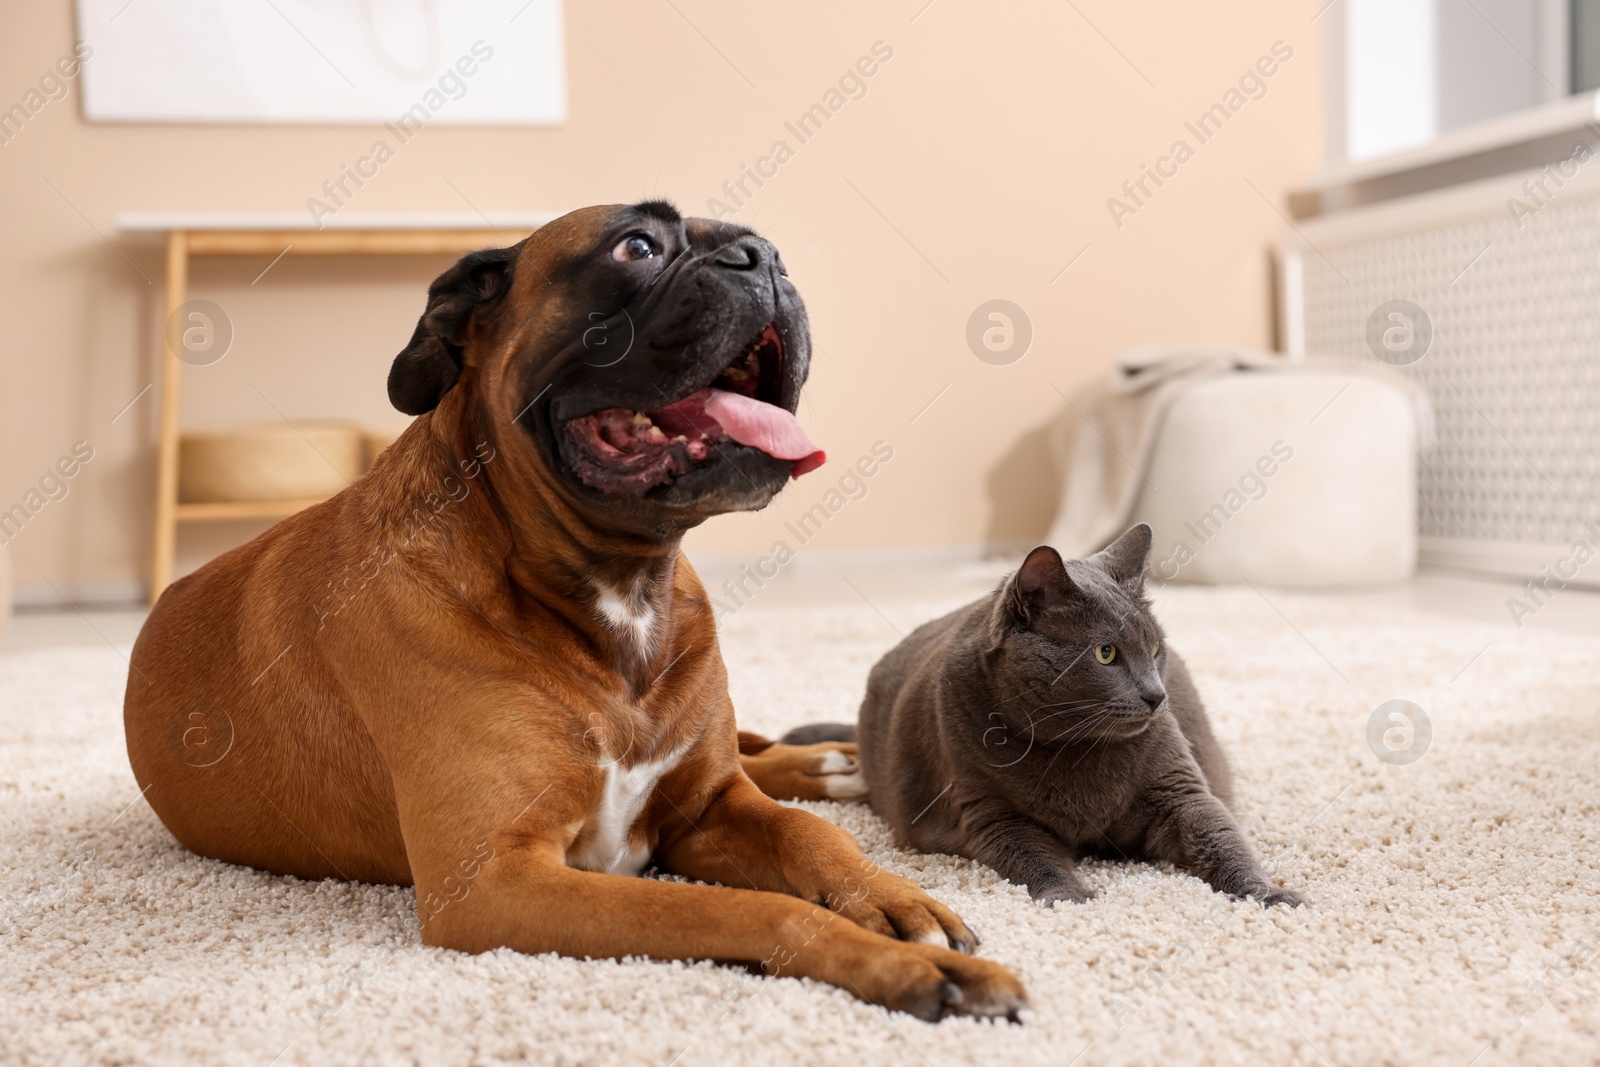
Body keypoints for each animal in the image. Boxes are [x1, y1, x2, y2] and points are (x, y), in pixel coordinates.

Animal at [124, 202, 1024, 1023]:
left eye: (764, 245)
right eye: (638, 246)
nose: (763, 257)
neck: (621, 587)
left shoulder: (709, 809)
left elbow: (812, 836)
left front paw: (894, 897)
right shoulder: (499, 880)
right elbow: (742, 907)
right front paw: (905, 963)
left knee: (759, 757)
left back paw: (830, 761)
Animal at [787, 524, 1299, 908]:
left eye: (1155, 648)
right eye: (1106, 653)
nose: (1157, 695)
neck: (1077, 748)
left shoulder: (1180, 790)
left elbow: (1221, 837)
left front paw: (1270, 895)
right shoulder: (991, 811)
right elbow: (1034, 857)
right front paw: (1070, 896)